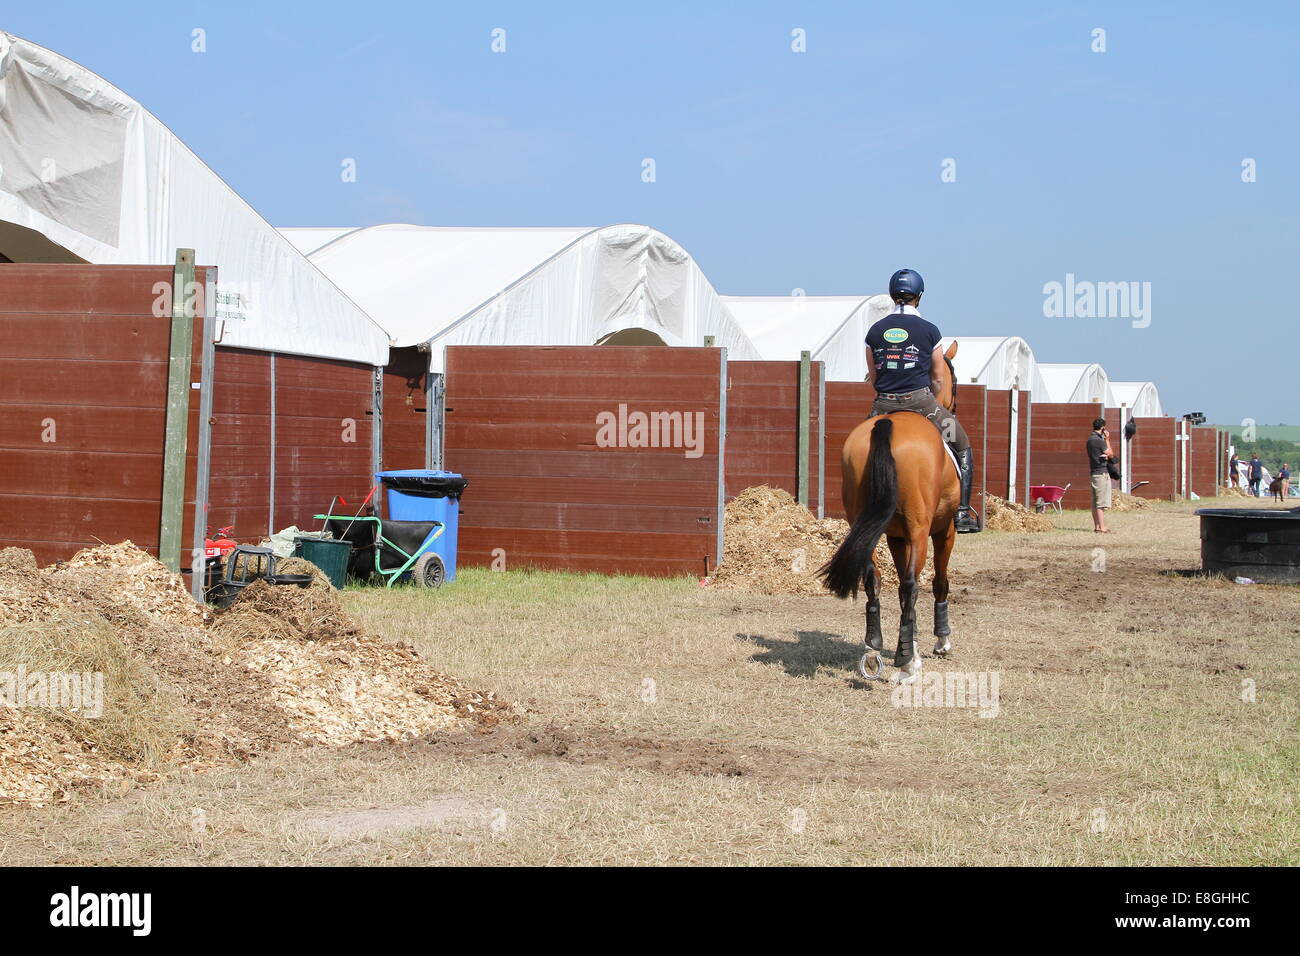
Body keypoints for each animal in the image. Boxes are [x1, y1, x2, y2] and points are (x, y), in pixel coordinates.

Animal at [821, 340, 967, 686]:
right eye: (954, 379)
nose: (954, 406)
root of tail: (888, 425)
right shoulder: (943, 531)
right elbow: (938, 582)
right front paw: (940, 641)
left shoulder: (897, 538)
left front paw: (910, 646)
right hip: (920, 529)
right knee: (912, 584)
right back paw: (905, 665)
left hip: (867, 524)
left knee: (872, 578)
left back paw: (873, 650)